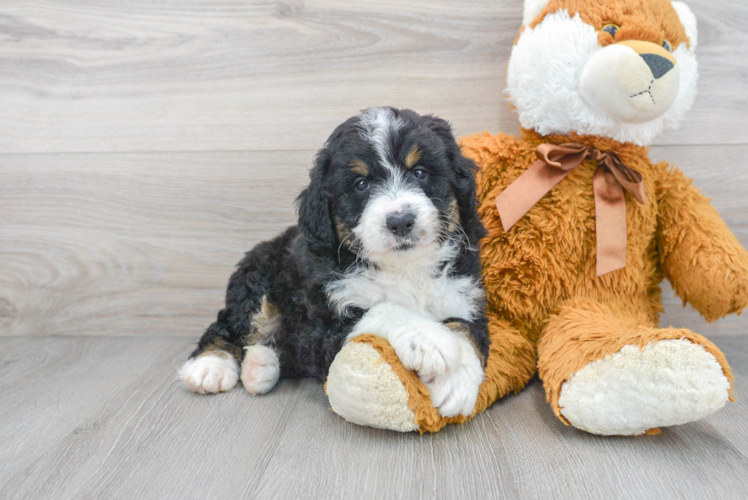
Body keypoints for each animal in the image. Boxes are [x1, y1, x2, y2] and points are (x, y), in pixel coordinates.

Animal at [178, 108, 488, 418]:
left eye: (420, 172)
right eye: (361, 184)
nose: (400, 221)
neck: (402, 268)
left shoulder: (464, 294)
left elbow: (468, 330)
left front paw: (457, 382)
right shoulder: (323, 327)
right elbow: (382, 309)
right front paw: (429, 339)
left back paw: (259, 367)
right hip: (257, 281)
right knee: (230, 323)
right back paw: (210, 366)